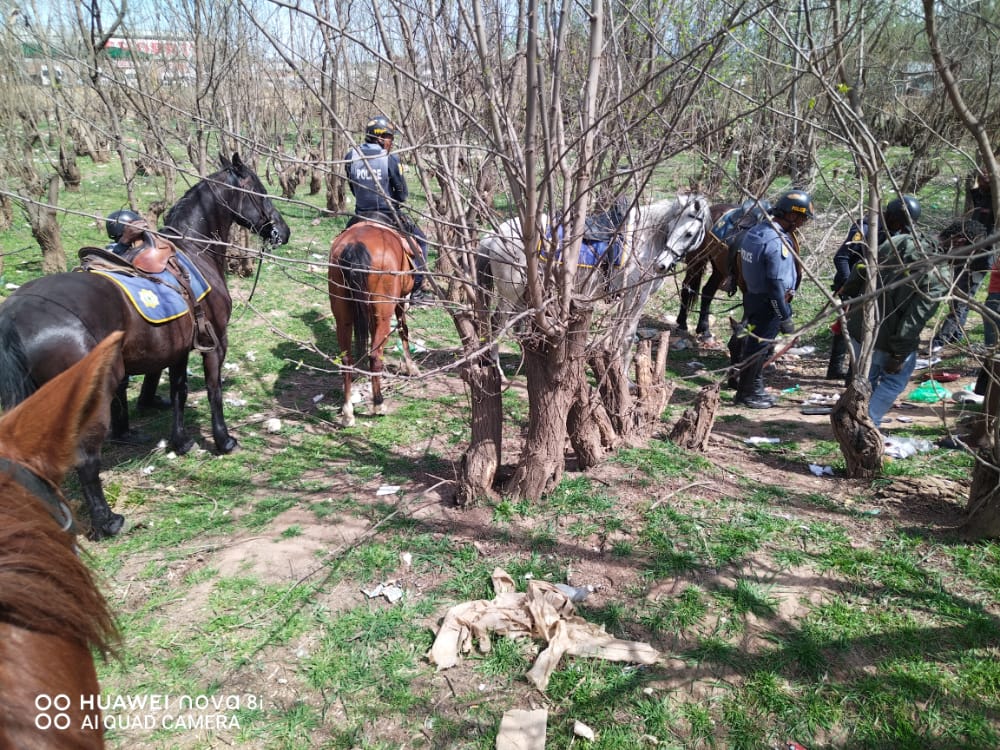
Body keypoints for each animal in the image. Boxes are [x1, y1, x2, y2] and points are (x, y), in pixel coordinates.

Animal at [0, 153, 292, 540]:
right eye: (258, 190)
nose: (282, 231)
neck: (194, 250)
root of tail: (13, 316)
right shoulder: (215, 342)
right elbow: (213, 390)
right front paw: (223, 440)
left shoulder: (180, 349)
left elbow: (180, 392)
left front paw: (181, 442)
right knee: (86, 460)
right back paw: (108, 522)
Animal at [330, 220, 420, 426]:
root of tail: (355, 246)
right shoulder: (400, 301)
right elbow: (403, 330)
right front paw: (411, 367)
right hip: (384, 314)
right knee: (375, 356)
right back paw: (378, 404)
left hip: (343, 317)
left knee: (346, 360)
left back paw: (348, 413)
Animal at [476, 192, 712, 372]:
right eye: (676, 228)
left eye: (689, 233)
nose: (661, 265)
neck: (645, 239)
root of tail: (494, 235)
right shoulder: (636, 297)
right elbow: (627, 336)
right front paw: (625, 378)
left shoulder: (626, 299)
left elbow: (618, 334)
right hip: (511, 292)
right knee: (498, 322)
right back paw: (496, 366)